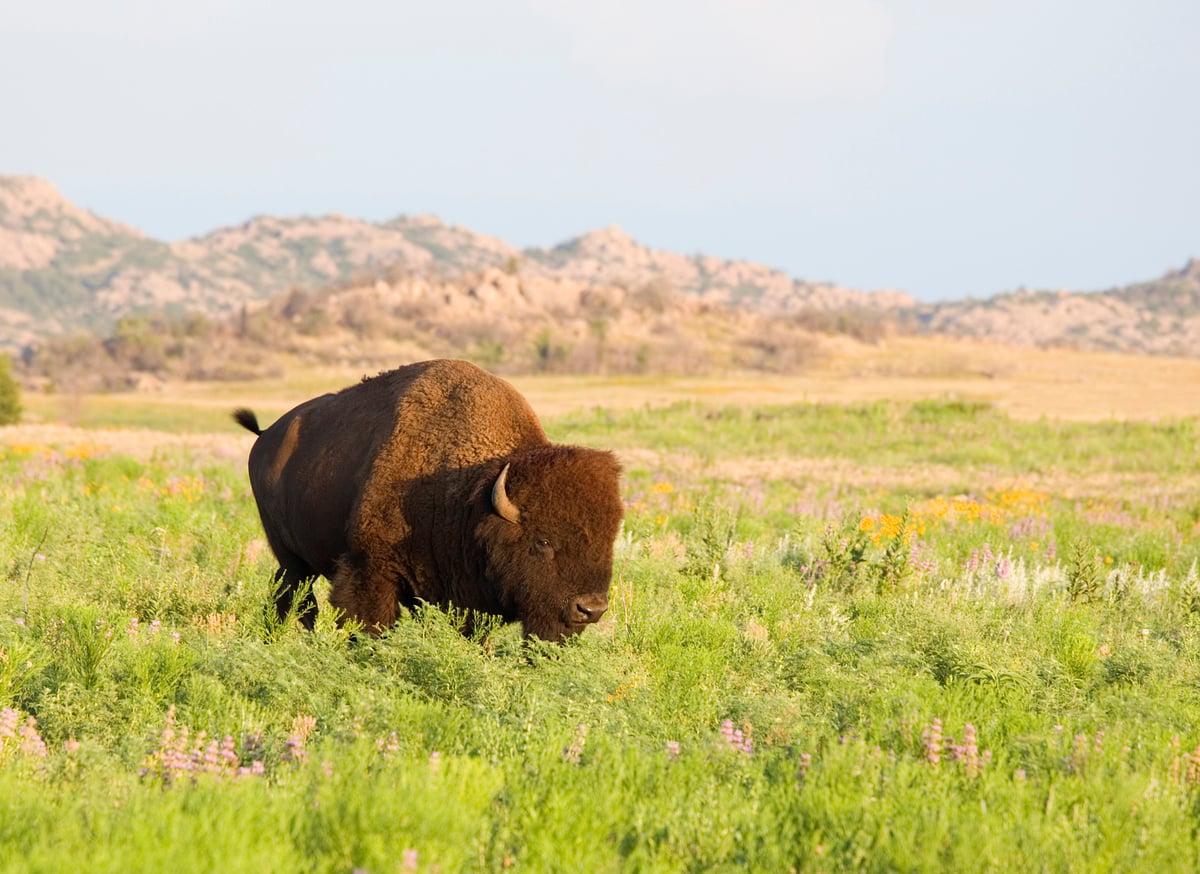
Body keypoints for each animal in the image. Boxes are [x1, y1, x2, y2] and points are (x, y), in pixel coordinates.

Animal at [233, 359, 624, 641]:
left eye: (608, 540)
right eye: (542, 541)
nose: (590, 609)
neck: (471, 495)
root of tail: (266, 437)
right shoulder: (371, 570)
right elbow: (369, 625)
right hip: (292, 560)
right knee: (298, 601)